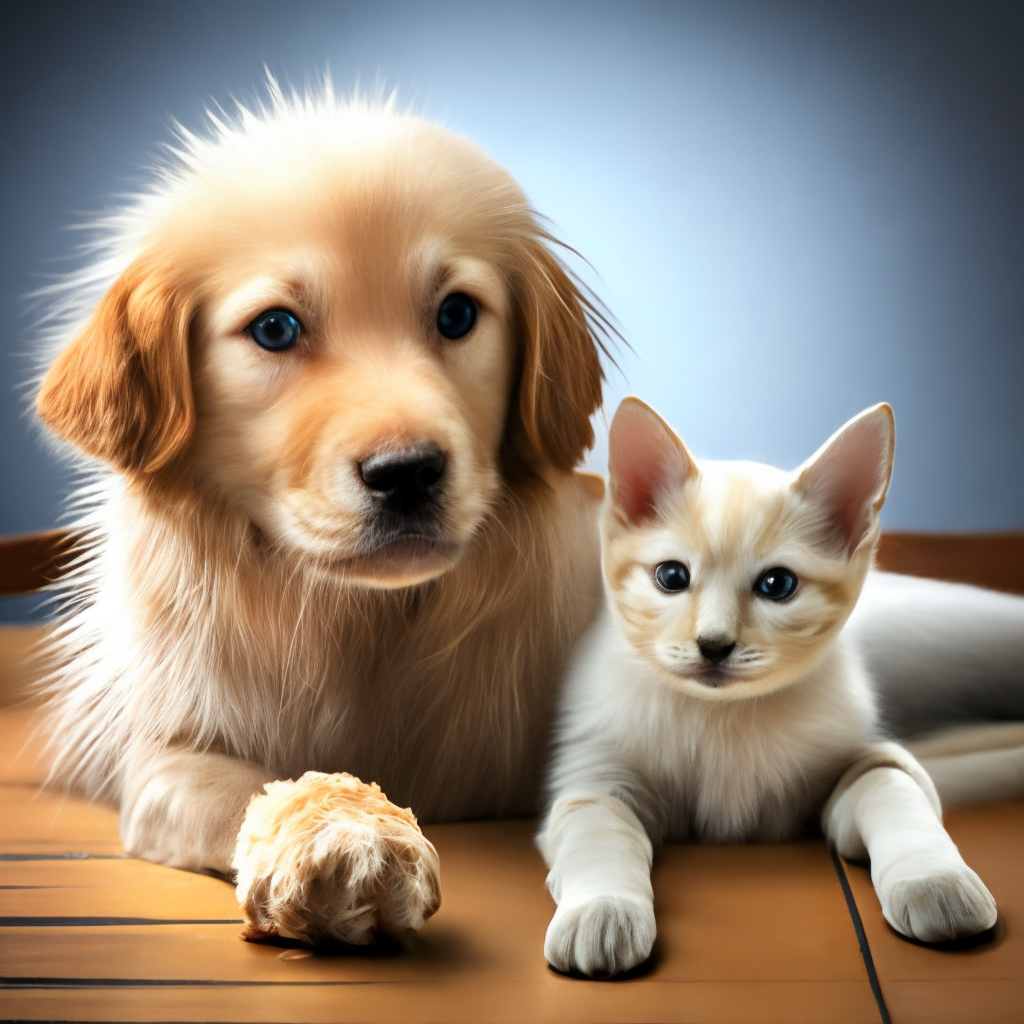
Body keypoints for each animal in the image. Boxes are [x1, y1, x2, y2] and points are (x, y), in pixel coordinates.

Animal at [37, 88, 606, 942]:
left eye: (456, 315)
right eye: (275, 328)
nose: (407, 474)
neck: (361, 622)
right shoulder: (166, 757)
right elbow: (239, 787)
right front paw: (340, 840)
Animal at [540, 397, 995, 974]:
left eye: (777, 585)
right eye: (671, 577)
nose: (713, 645)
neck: (724, 719)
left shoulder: (872, 760)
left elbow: (895, 794)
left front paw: (934, 878)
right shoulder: (597, 780)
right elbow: (600, 837)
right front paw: (602, 910)